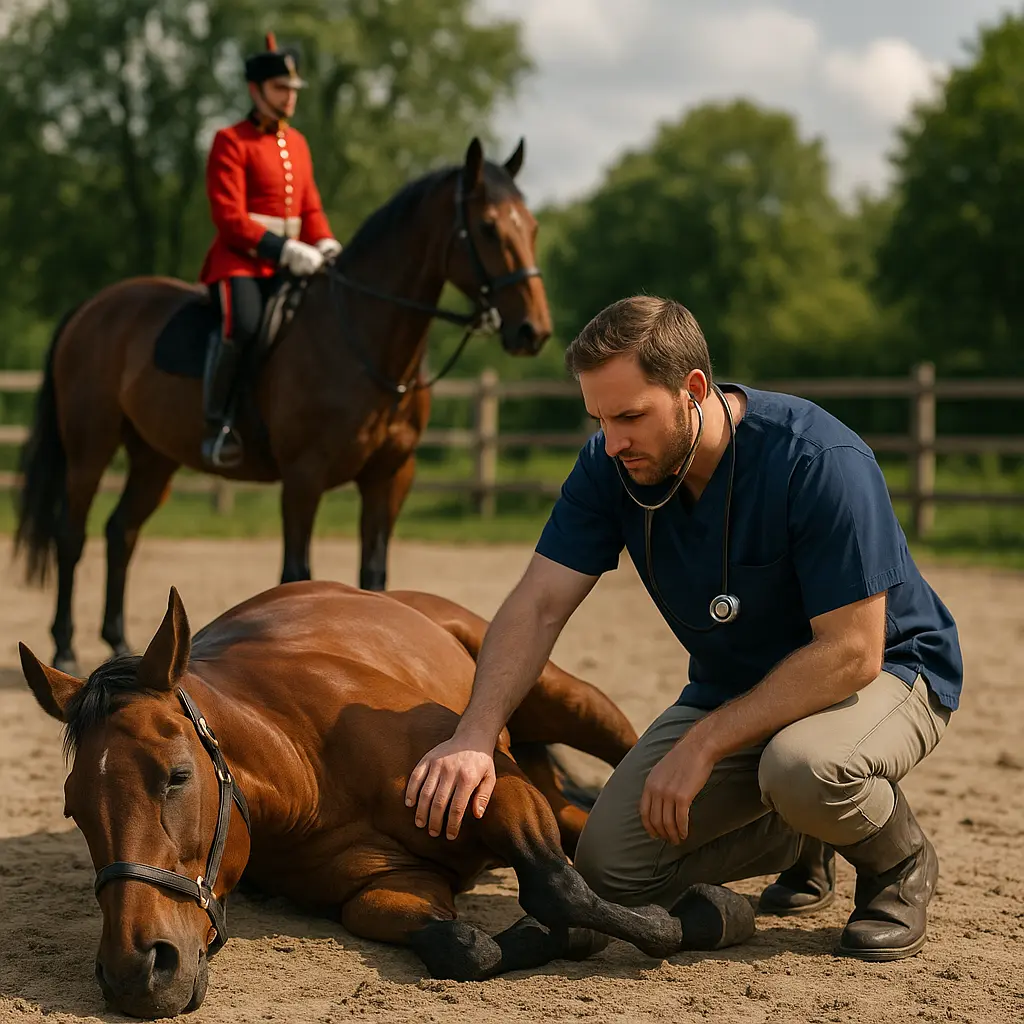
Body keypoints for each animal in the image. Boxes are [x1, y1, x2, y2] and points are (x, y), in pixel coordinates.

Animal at [13, 137, 553, 676]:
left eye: (532, 226)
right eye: (488, 226)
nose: (534, 331)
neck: (360, 337)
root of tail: (94, 306)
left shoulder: (391, 475)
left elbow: (375, 575)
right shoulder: (303, 475)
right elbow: (297, 571)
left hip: (154, 459)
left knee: (121, 532)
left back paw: (119, 641)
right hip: (91, 448)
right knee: (71, 534)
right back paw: (65, 647)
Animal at [20, 582, 756, 1019]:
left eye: (176, 776)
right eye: (74, 809)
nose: (134, 971)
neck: (307, 770)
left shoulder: (501, 789)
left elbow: (558, 887)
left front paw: (694, 918)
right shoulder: (385, 886)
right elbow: (467, 948)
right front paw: (548, 938)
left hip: (563, 696)